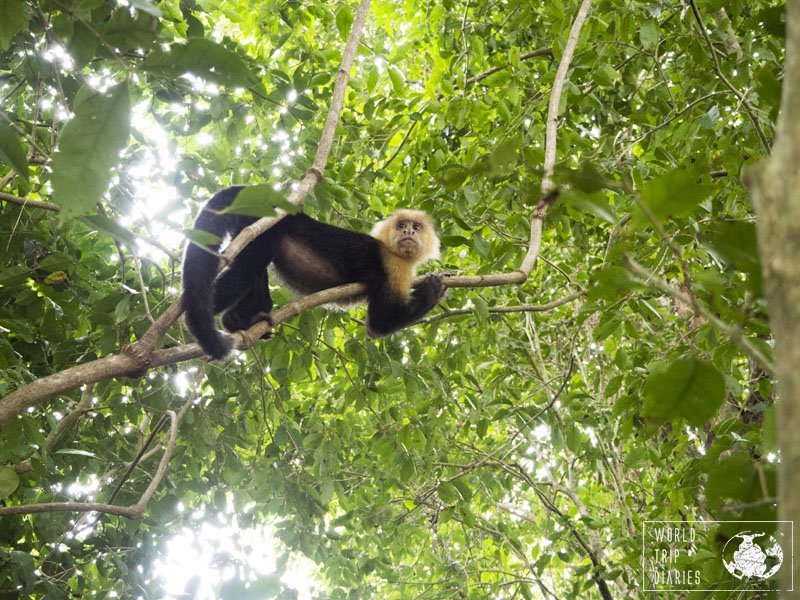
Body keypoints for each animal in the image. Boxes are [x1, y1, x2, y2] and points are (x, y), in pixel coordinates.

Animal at [182, 185, 446, 358]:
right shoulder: (393, 265)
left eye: (416, 227)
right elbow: (379, 324)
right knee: (248, 268)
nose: (408, 233)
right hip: (262, 224)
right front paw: (433, 290)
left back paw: (239, 320)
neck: (393, 251)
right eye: (401, 226)